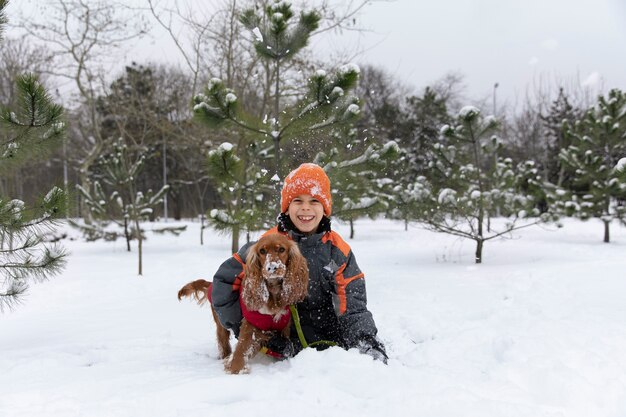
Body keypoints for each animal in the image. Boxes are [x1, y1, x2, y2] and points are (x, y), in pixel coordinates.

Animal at [177, 232, 308, 372]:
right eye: (262, 251)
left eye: (282, 249)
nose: (272, 267)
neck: (273, 293)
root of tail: (212, 284)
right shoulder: (249, 326)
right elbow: (240, 353)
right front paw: (235, 370)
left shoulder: (284, 327)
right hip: (221, 324)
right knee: (223, 344)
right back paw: (224, 357)